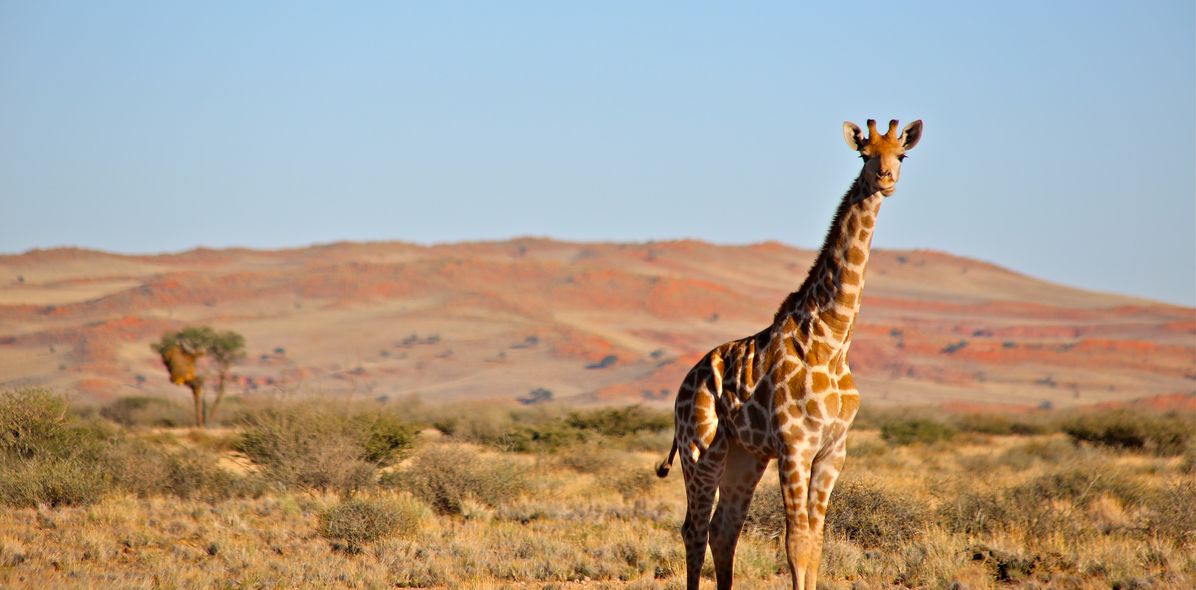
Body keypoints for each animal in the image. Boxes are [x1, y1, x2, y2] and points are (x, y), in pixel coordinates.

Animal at [656, 118, 923, 590]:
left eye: (902, 154)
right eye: (864, 154)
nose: (885, 179)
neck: (833, 341)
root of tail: (686, 383)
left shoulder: (833, 451)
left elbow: (815, 544)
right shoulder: (795, 445)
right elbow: (796, 542)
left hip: (745, 455)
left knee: (725, 528)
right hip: (700, 448)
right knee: (694, 527)